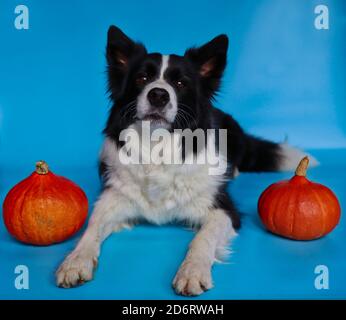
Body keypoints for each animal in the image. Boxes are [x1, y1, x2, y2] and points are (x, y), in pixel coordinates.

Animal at [56, 26, 316, 296]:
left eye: (180, 83)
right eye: (142, 78)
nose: (158, 95)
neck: (157, 146)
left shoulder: (222, 209)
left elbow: (203, 238)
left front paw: (192, 272)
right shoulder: (114, 196)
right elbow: (92, 226)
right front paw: (75, 261)